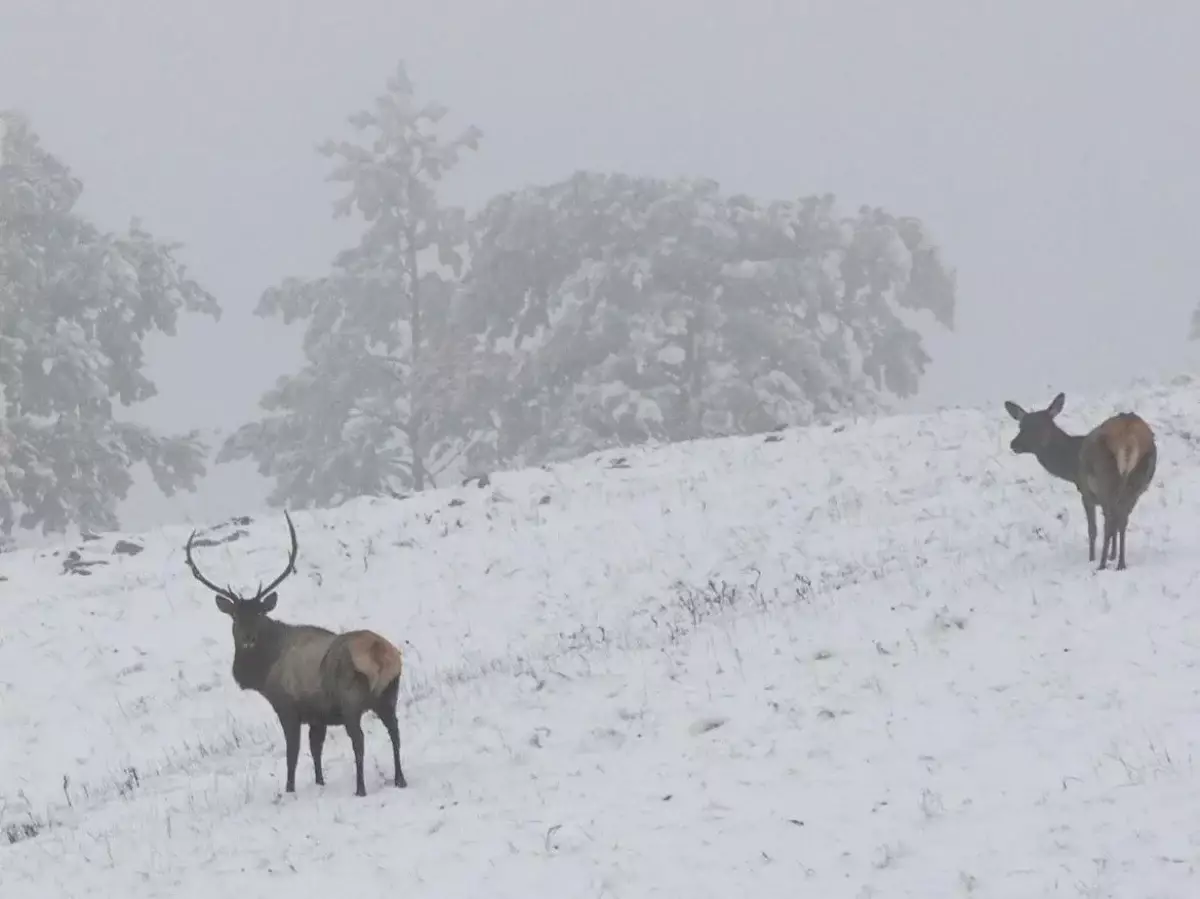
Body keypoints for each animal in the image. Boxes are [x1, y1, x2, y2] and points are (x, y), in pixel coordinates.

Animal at [184, 508, 410, 796]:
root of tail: (380, 653)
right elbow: (315, 749)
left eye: (259, 613)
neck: (264, 672)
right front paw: (319, 782)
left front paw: (289, 788)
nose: (248, 638)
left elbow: (293, 752)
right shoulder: (318, 717)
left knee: (359, 742)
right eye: (235, 616)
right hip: (389, 695)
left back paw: (360, 788)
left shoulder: (288, 707)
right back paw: (400, 779)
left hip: (351, 700)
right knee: (396, 733)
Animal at [1008, 391, 1156, 568]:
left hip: (1105, 480)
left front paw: (1093, 558)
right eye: (1021, 426)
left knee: (1109, 523)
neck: (1071, 466)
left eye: (1038, 427)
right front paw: (1112, 556)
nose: (1013, 444)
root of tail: (1131, 436)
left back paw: (1101, 565)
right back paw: (1121, 564)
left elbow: (1093, 529)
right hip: (1138, 482)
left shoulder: (1086, 492)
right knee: (1122, 521)